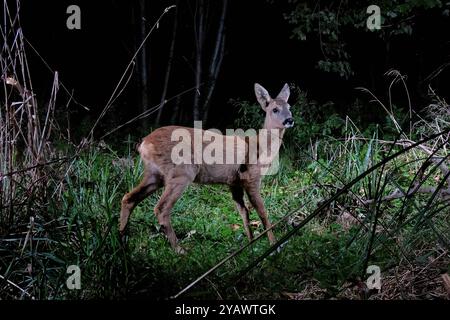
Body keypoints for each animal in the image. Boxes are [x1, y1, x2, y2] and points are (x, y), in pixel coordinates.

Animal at [120, 84, 296, 254]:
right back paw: (179, 250)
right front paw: (274, 246)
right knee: (161, 208)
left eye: (289, 106)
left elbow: (244, 212)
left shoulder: (234, 183)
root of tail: (144, 143)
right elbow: (263, 213)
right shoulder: (251, 178)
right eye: (275, 109)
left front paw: (251, 244)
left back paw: (122, 240)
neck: (260, 147)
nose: (290, 120)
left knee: (128, 198)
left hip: (154, 174)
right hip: (182, 172)